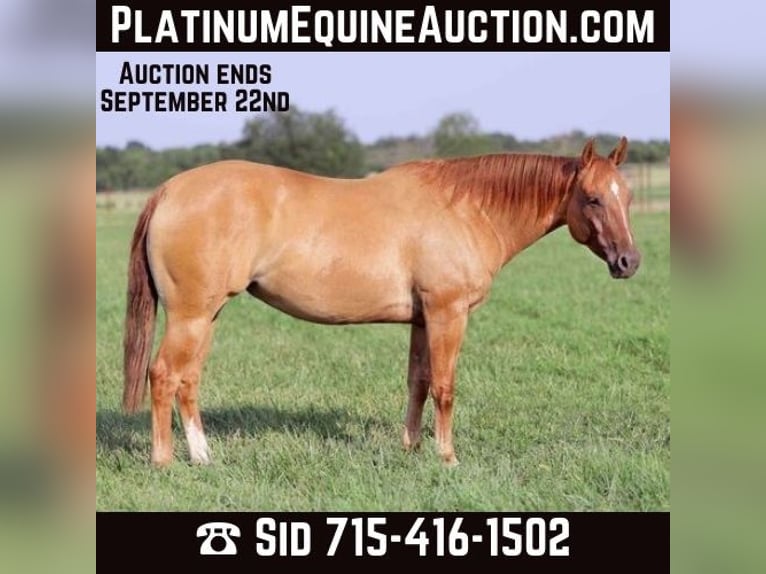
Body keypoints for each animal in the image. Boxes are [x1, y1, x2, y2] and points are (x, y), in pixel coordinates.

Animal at [122, 137, 640, 467]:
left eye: (627, 196)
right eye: (593, 198)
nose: (628, 261)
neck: (465, 209)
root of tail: (169, 190)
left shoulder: (422, 320)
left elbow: (418, 382)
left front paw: (410, 449)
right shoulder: (447, 314)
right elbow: (444, 387)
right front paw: (447, 457)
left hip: (207, 315)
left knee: (188, 380)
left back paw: (203, 457)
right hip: (191, 316)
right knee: (164, 375)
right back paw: (164, 462)